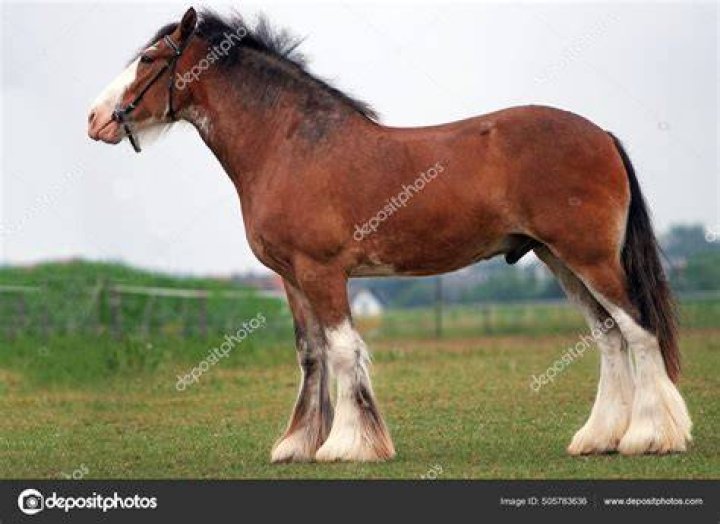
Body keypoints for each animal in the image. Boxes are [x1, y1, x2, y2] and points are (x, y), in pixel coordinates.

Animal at [88, 7, 692, 462]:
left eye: (149, 59)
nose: (96, 118)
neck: (289, 144)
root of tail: (602, 135)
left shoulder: (323, 272)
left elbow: (343, 349)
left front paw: (347, 445)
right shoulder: (291, 278)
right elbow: (311, 354)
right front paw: (298, 444)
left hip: (590, 257)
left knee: (637, 330)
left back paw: (649, 437)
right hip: (559, 259)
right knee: (608, 337)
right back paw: (599, 438)